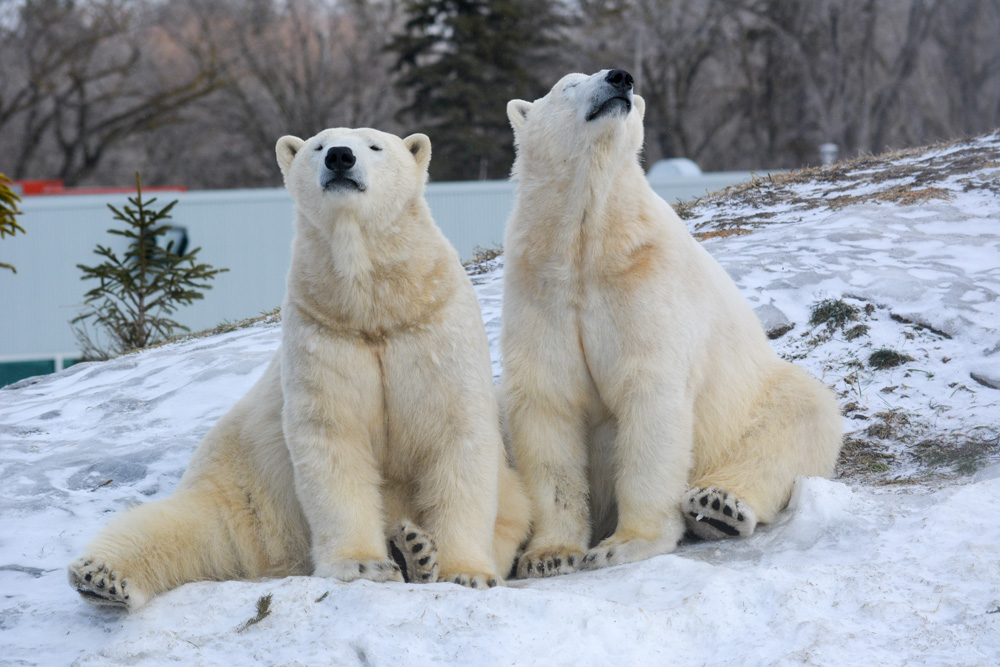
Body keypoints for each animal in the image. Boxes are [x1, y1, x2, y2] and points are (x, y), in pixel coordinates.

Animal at [68, 127, 531, 609]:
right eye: (318, 145)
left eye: (375, 146)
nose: (340, 157)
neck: (372, 309)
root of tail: (275, 559)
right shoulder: (322, 335)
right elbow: (332, 434)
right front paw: (363, 564)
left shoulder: (433, 329)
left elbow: (455, 432)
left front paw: (467, 573)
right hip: (243, 482)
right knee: (184, 525)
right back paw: (101, 576)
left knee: (511, 515)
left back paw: (416, 551)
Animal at [500, 70, 843, 578]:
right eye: (569, 85)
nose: (620, 78)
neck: (589, 246)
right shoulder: (541, 291)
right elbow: (548, 403)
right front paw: (549, 555)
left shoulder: (645, 284)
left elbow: (650, 397)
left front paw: (623, 545)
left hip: (754, 401)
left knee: (799, 417)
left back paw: (717, 507)